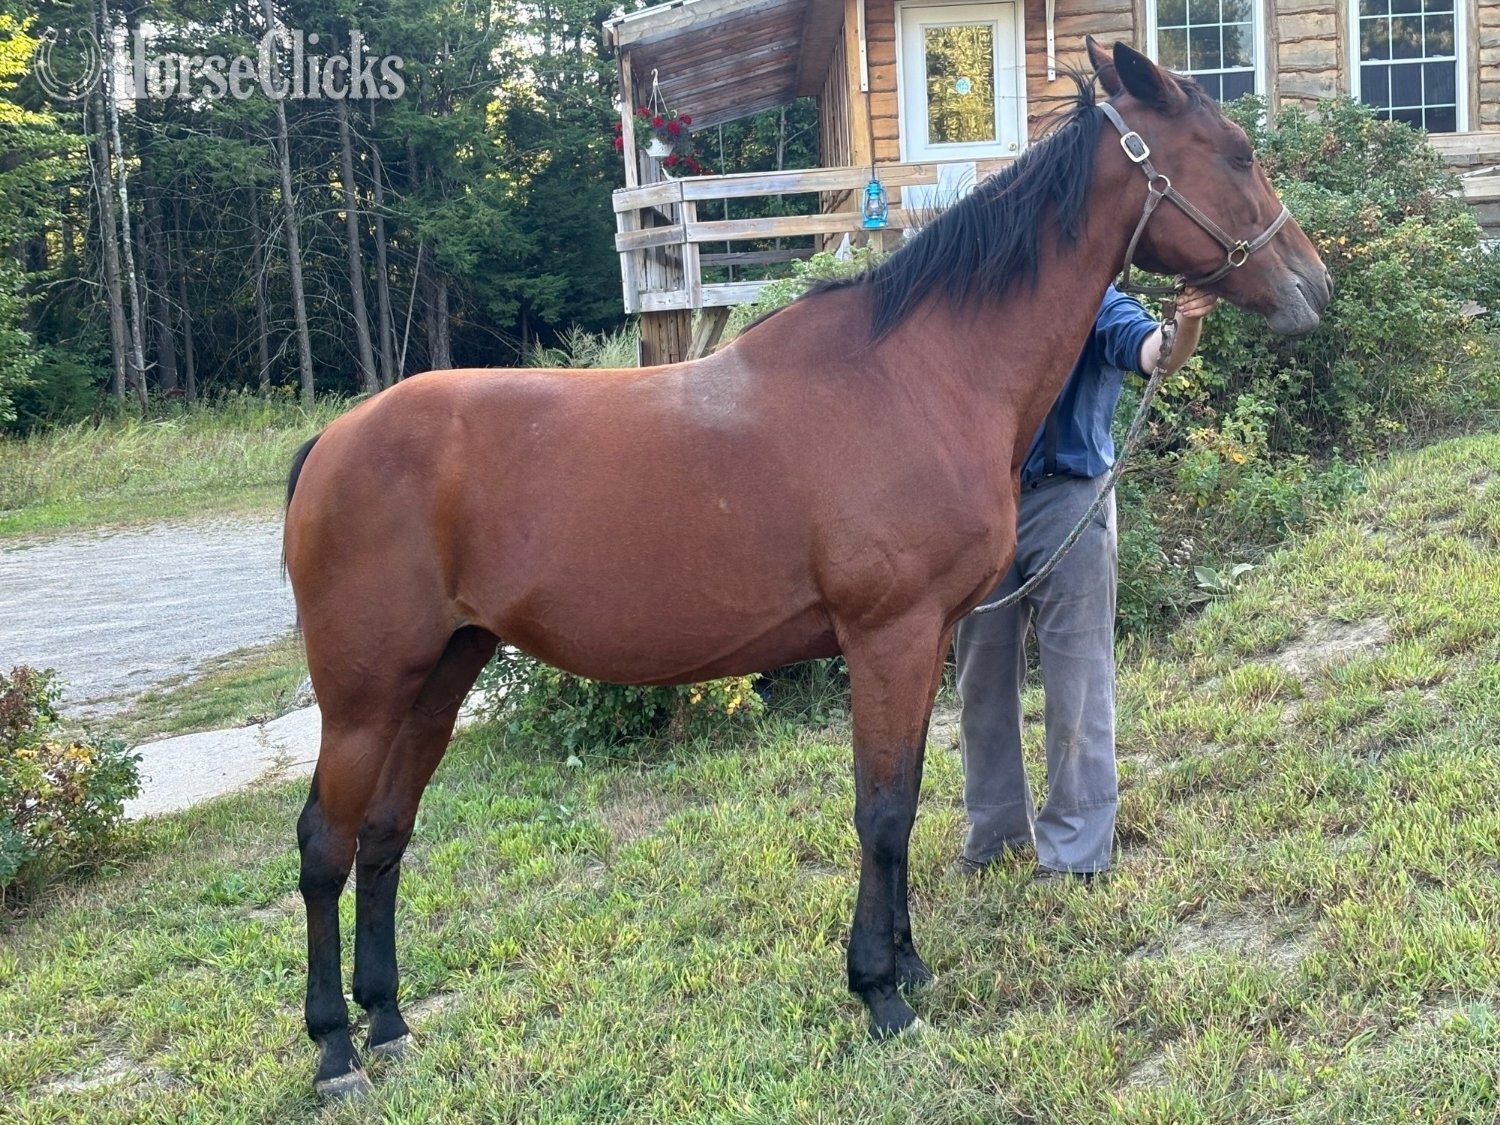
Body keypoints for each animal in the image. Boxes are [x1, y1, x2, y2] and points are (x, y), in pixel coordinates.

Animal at [282, 39, 1330, 1097]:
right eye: (1236, 152)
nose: (1315, 286)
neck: (920, 373)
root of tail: (333, 442)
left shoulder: (926, 639)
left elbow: (907, 795)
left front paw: (908, 959)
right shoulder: (888, 636)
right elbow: (880, 811)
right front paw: (880, 990)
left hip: (441, 676)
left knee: (386, 834)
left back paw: (388, 1021)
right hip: (367, 696)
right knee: (327, 843)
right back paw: (335, 1047)